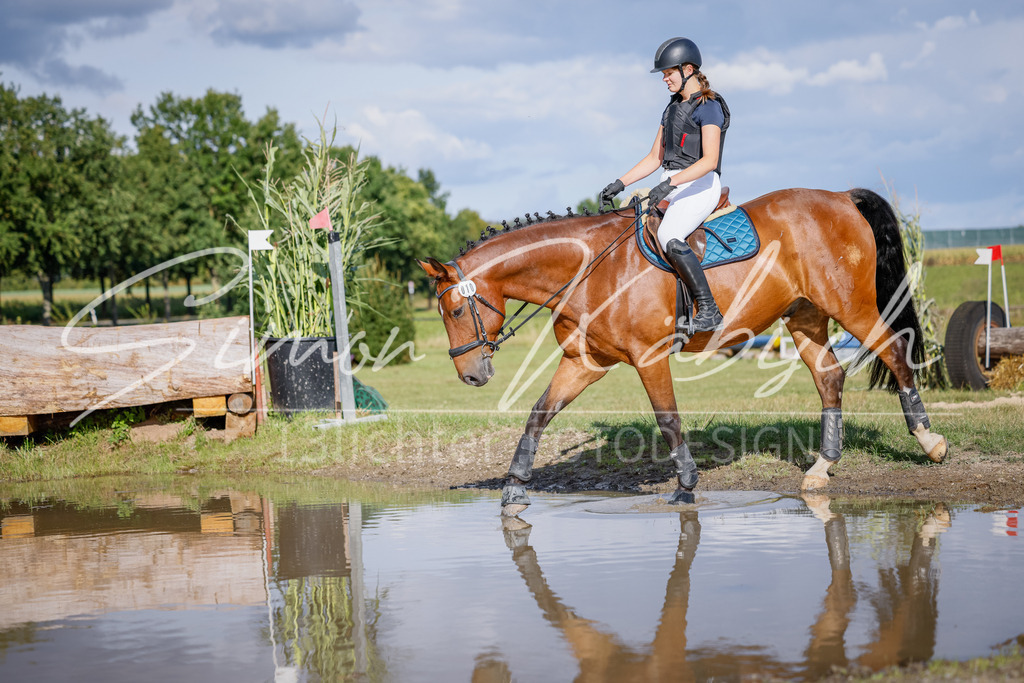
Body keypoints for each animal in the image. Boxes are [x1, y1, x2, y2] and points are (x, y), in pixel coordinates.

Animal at [418, 188, 948, 516]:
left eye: (455, 310)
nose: (471, 375)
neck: (590, 269)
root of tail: (840, 198)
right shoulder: (585, 363)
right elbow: (538, 415)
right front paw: (513, 487)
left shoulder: (648, 358)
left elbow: (668, 420)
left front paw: (686, 487)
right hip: (805, 317)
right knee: (829, 378)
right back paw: (821, 469)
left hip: (852, 308)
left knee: (896, 354)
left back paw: (930, 443)